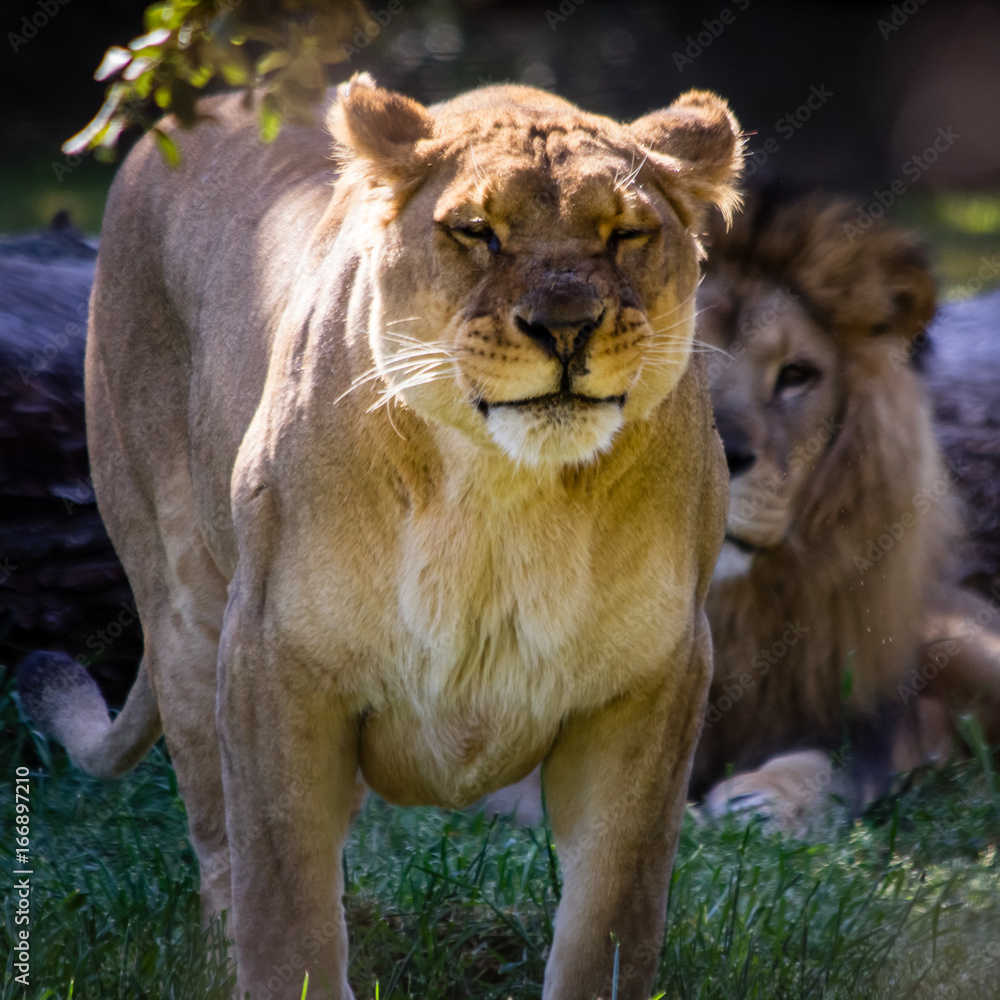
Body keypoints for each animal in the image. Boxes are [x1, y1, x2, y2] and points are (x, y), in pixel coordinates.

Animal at [18, 75, 743, 999]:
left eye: (626, 233)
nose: (566, 326)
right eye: (476, 232)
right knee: (219, 840)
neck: (502, 496)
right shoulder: (271, 662)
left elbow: (611, 923)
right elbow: (283, 907)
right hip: (180, 608)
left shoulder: (654, 682)